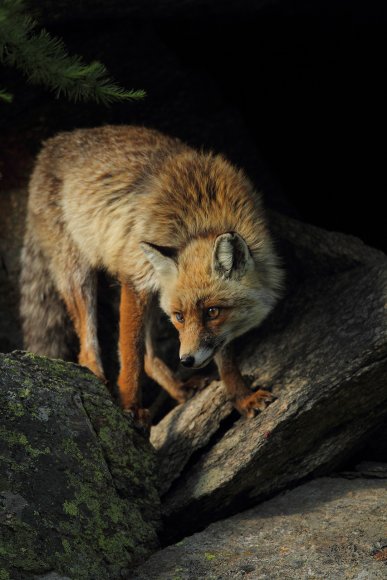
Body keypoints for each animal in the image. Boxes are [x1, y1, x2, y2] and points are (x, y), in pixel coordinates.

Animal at [19, 125, 284, 426]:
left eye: (213, 312)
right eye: (180, 317)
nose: (187, 361)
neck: (201, 217)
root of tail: (50, 145)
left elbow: (224, 360)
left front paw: (242, 398)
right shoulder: (135, 278)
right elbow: (130, 354)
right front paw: (130, 405)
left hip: (151, 297)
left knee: (148, 358)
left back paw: (180, 390)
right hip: (81, 275)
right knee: (88, 350)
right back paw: (99, 382)